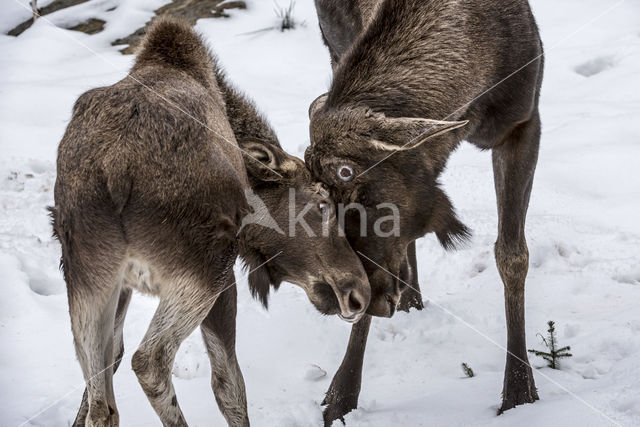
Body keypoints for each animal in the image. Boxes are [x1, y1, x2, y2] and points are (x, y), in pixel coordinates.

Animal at [51, 18, 370, 426]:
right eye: (323, 203)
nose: (361, 292)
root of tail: (114, 173)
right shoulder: (225, 274)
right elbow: (230, 386)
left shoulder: (119, 287)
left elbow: (106, 368)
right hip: (202, 271)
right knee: (150, 360)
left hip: (86, 276)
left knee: (102, 399)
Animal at [308, 0, 544, 424]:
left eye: (348, 173)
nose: (331, 298)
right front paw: (341, 395)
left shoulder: (523, 124)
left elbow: (512, 256)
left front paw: (519, 389)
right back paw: (410, 295)